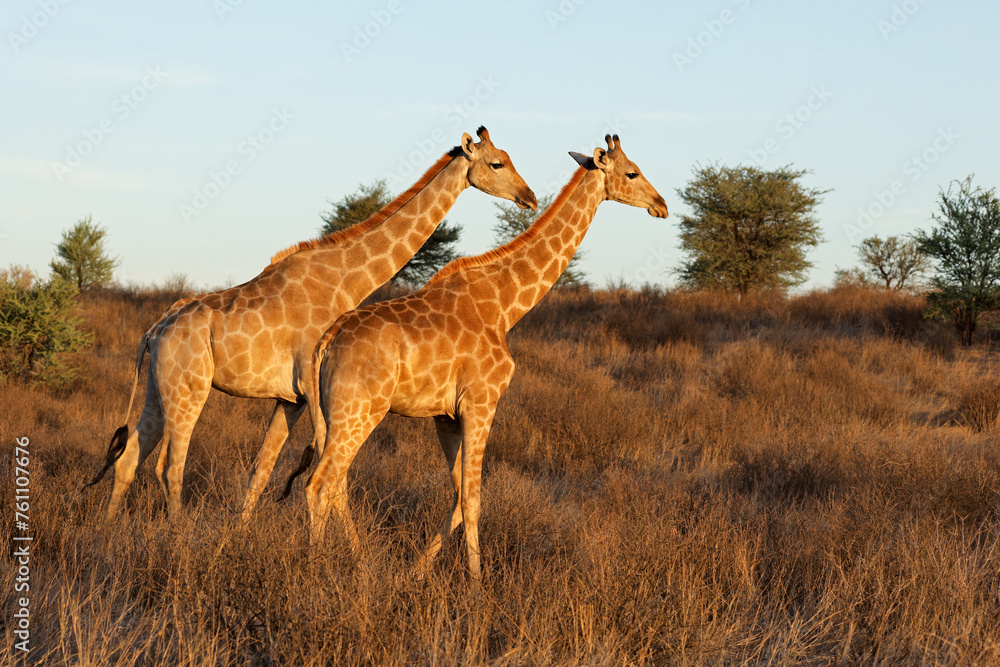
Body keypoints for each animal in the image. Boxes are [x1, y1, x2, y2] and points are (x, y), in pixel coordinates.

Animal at [87, 127, 537, 523]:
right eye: (497, 163)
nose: (529, 197)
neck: (346, 278)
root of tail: (153, 332)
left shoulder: (291, 398)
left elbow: (261, 471)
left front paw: (236, 540)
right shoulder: (313, 384)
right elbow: (330, 475)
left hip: (158, 387)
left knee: (129, 458)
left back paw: (106, 538)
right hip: (189, 388)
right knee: (169, 467)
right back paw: (178, 541)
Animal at [302, 135, 667, 580]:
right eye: (632, 172)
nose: (662, 205)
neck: (505, 305)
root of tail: (327, 340)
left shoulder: (446, 416)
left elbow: (458, 497)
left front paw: (416, 573)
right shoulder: (482, 401)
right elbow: (474, 500)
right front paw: (478, 584)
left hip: (330, 415)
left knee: (334, 483)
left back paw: (358, 564)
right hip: (359, 410)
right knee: (320, 484)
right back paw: (316, 570)